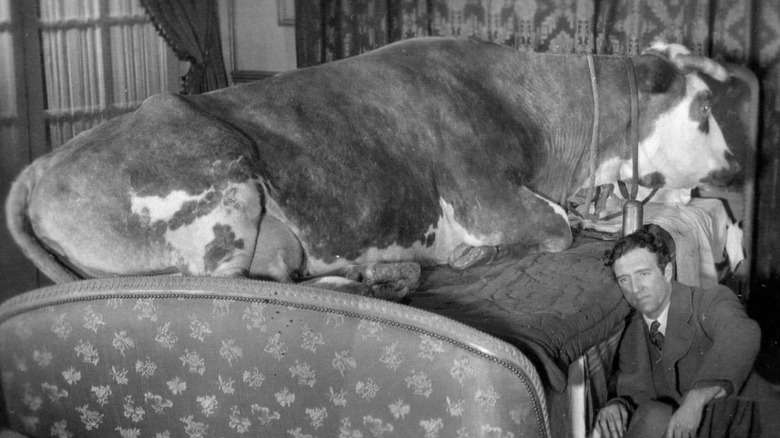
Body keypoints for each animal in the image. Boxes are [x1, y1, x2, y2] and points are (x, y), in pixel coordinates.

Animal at [5, 37, 738, 296]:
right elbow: (557, 227)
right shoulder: (482, 194)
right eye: (704, 109)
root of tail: (45, 163)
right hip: (220, 194)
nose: (735, 166)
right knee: (228, 286)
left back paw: (386, 273)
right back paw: (371, 278)